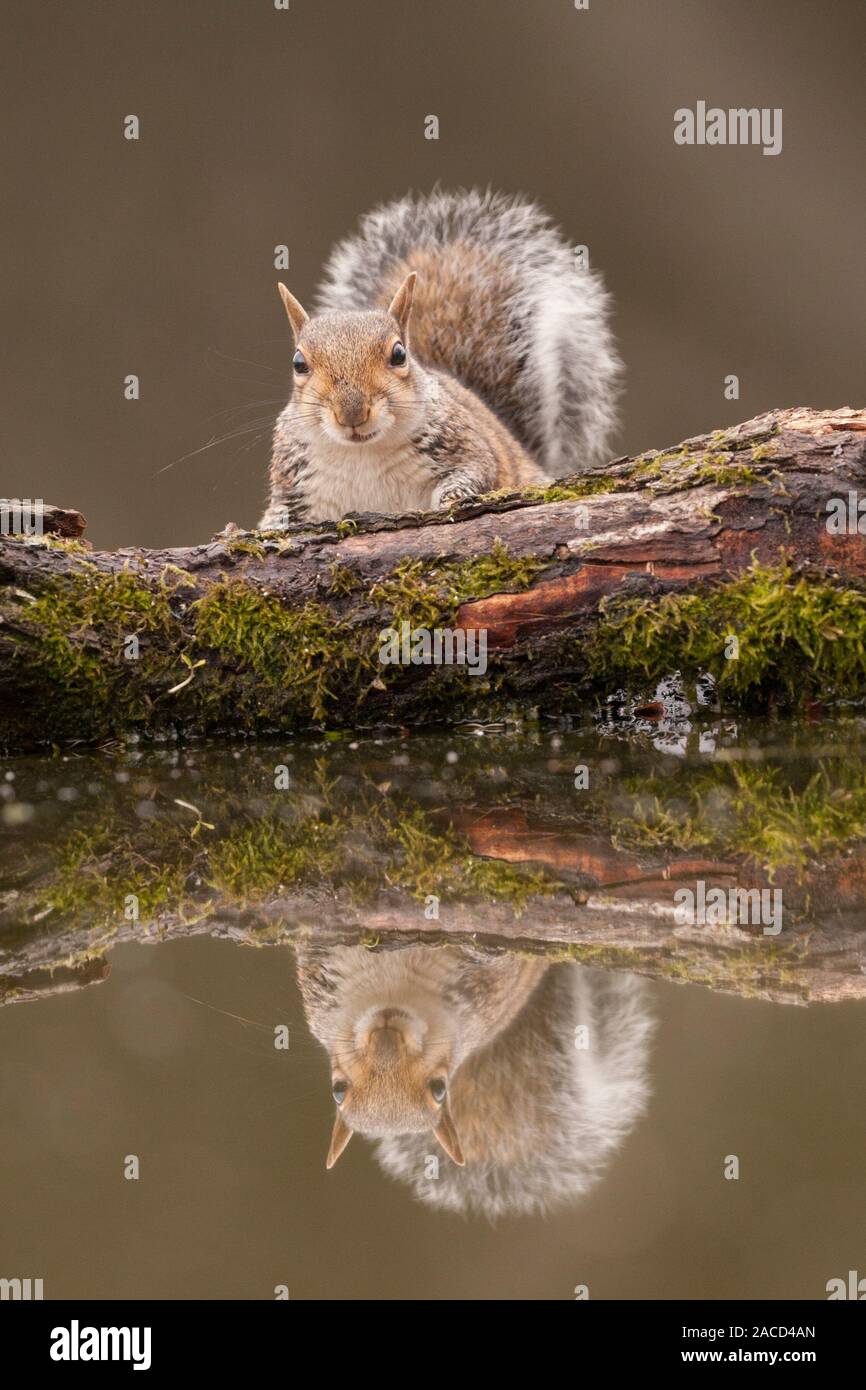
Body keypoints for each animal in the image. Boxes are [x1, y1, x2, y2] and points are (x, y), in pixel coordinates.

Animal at [261, 187, 619, 528]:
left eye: (399, 354)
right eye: (299, 364)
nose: (351, 413)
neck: (363, 453)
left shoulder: (465, 445)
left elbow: (477, 471)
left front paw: (452, 500)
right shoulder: (292, 478)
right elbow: (279, 513)